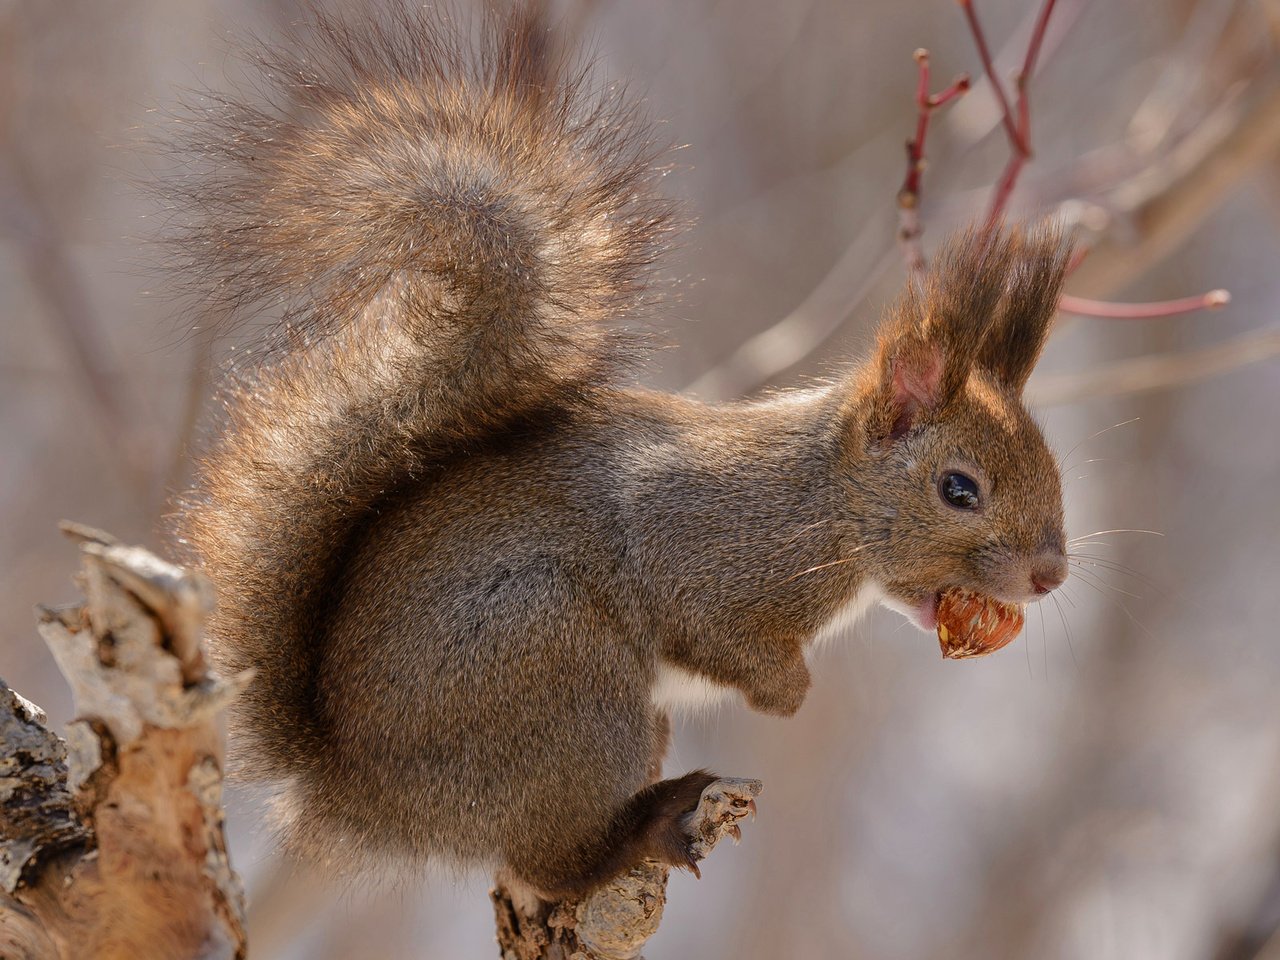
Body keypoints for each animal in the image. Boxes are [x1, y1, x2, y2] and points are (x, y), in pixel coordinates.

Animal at [167, 1, 1070, 901]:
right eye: (959, 489)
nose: (1050, 577)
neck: (824, 502)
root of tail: (359, 790)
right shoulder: (706, 547)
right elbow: (713, 626)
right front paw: (790, 693)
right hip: (564, 679)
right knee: (552, 863)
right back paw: (648, 828)